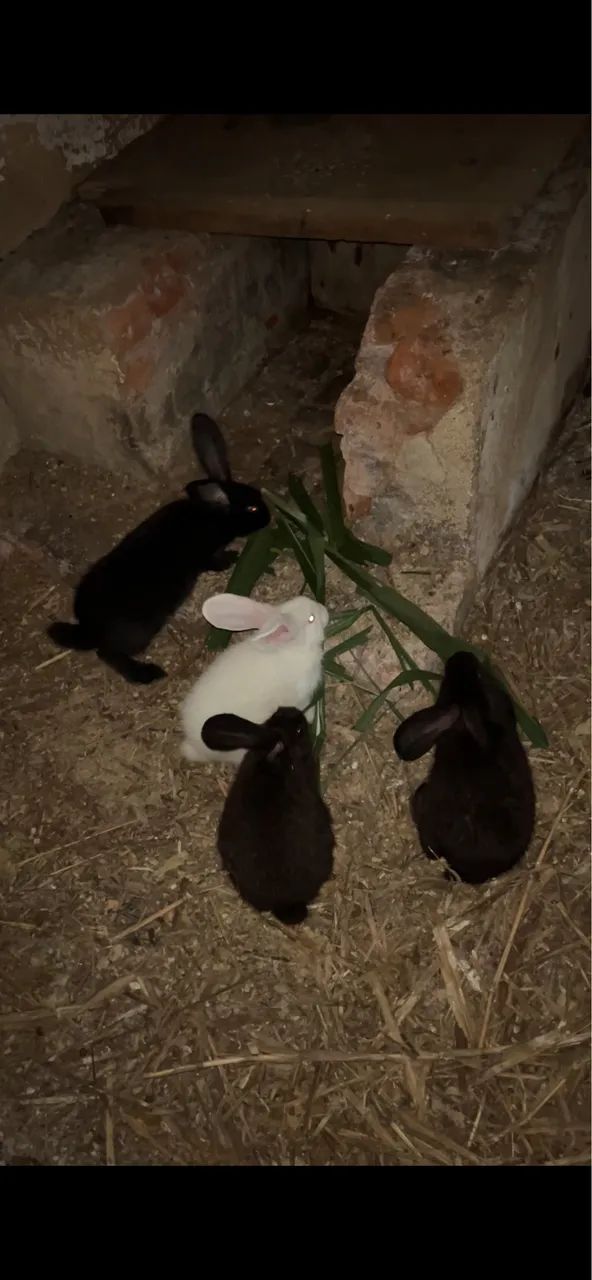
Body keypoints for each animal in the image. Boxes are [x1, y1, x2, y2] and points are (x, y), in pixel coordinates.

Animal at [46, 413, 270, 684]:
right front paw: (232, 557)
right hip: (139, 632)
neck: (213, 514)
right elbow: (215, 563)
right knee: (108, 654)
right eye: (252, 509)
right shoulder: (204, 556)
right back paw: (148, 673)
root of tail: (89, 629)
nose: (269, 518)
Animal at [180, 592, 329, 764]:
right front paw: (312, 717)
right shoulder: (300, 697)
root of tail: (195, 747)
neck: (293, 647)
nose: (325, 610)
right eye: (311, 618)